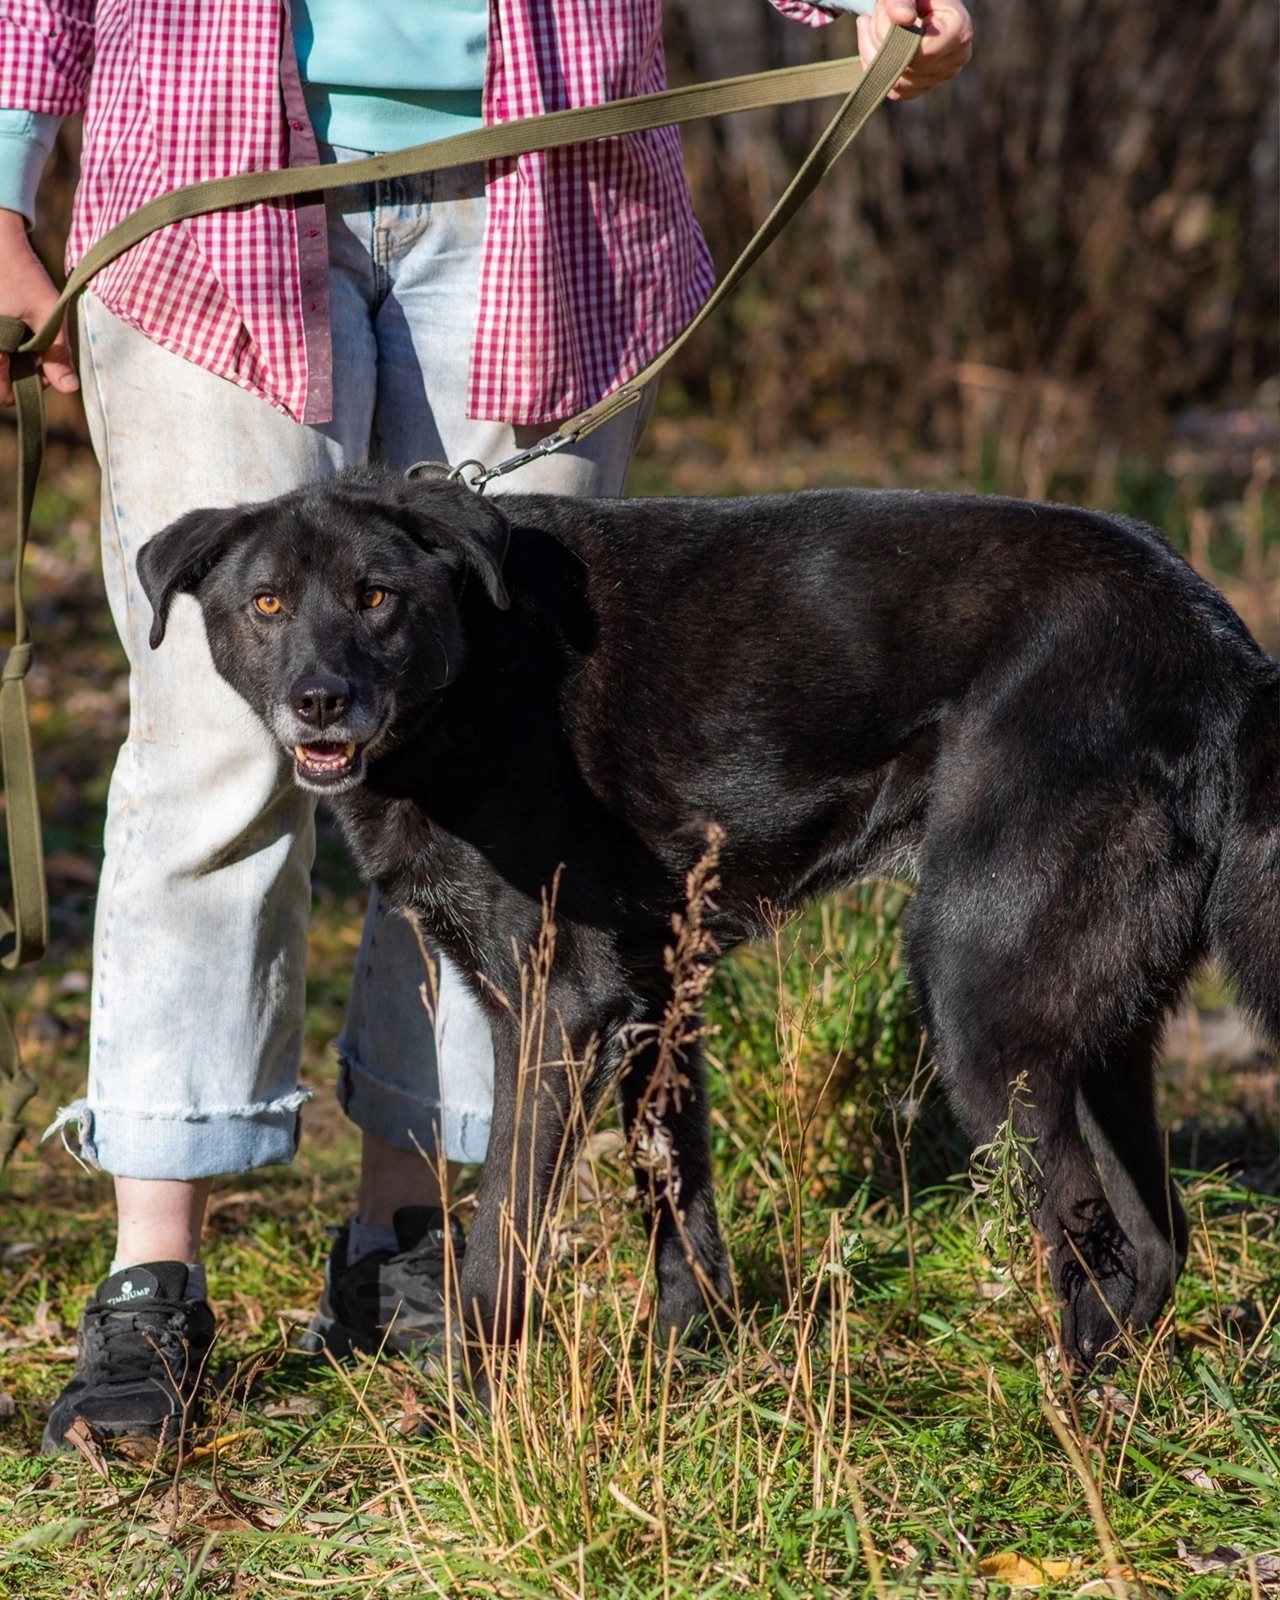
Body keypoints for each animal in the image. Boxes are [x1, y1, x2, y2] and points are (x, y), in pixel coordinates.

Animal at [137, 468, 1280, 1370]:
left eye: (374, 597)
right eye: (268, 603)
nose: (319, 701)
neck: (471, 668)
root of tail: (1222, 646)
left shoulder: (559, 1005)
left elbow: (503, 1225)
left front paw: (477, 1404)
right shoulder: (655, 994)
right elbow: (675, 1200)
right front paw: (689, 1359)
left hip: (980, 1004)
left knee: (1090, 1239)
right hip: (1090, 1021)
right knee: (1154, 1241)